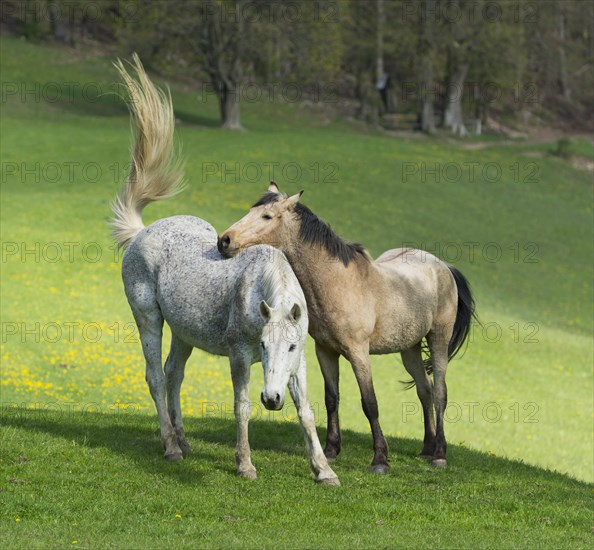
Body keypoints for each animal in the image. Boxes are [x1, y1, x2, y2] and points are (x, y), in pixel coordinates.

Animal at [108, 56, 336, 486]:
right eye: (262, 345)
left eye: (291, 346)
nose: (273, 399)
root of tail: (142, 232)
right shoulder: (240, 357)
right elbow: (242, 406)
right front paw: (245, 463)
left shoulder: (298, 365)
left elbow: (307, 412)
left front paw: (324, 469)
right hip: (148, 318)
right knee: (156, 377)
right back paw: (170, 446)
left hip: (183, 332)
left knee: (173, 373)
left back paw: (183, 440)